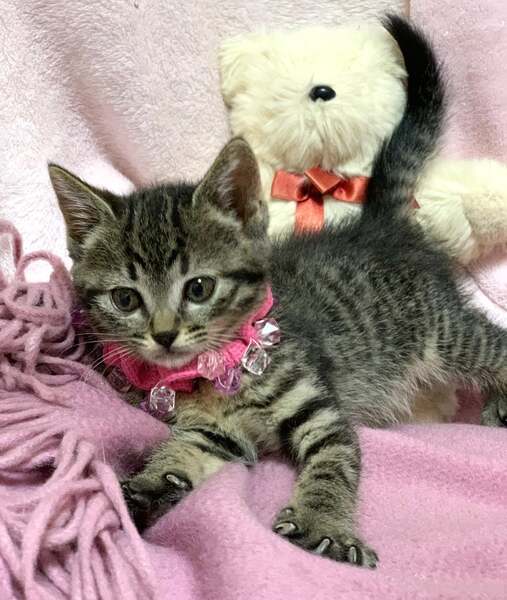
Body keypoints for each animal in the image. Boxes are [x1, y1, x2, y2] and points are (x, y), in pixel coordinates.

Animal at [49, 16, 507, 569]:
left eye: (199, 287)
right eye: (126, 299)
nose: (164, 335)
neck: (216, 373)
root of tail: (377, 224)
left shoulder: (321, 412)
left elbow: (335, 463)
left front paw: (325, 526)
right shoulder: (211, 434)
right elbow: (179, 456)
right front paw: (141, 490)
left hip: (443, 333)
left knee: (494, 345)